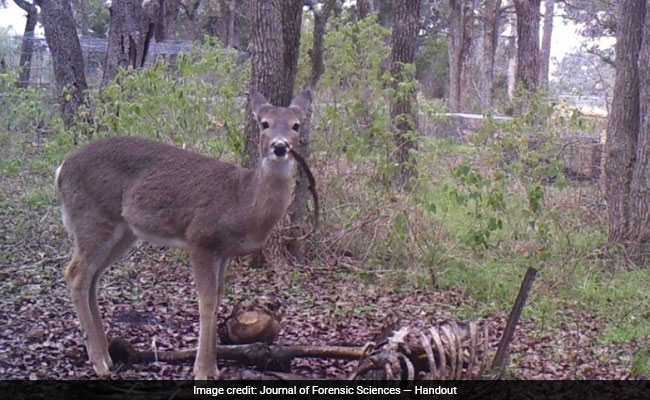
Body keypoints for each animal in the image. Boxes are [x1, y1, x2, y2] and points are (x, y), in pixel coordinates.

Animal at [55, 90, 311, 380]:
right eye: (264, 123)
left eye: (296, 125)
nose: (280, 147)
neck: (241, 202)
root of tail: (61, 170)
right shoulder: (200, 238)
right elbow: (207, 301)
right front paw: (203, 370)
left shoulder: (224, 252)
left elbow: (219, 298)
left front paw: (213, 367)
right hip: (93, 217)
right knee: (75, 274)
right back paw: (98, 362)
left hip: (124, 231)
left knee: (92, 277)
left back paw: (106, 356)